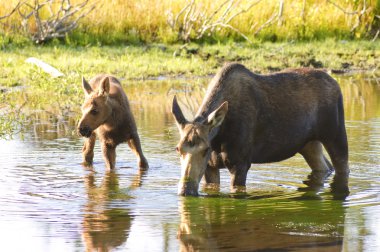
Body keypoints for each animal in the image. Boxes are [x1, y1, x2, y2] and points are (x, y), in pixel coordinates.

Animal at [172, 62, 350, 196]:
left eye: (205, 149)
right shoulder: (211, 167)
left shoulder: (241, 164)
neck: (218, 138)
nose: (186, 190)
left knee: (342, 168)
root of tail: (336, 85)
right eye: (178, 148)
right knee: (324, 166)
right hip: (309, 144)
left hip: (336, 135)